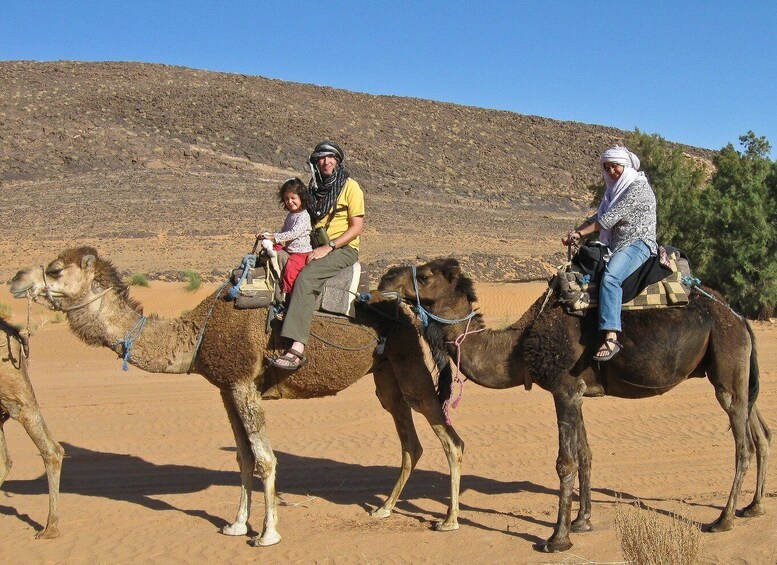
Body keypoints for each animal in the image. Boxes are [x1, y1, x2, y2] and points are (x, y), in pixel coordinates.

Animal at [9, 247, 464, 548]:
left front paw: (267, 533)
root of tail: (409, 310)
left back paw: (449, 521)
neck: (197, 332)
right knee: (411, 441)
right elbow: (243, 458)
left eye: (54, 269)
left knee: (450, 439)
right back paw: (384, 508)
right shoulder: (226, 388)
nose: (15, 279)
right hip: (386, 375)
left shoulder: (244, 382)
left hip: (409, 364)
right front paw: (235, 524)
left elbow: (265, 459)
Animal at [378, 258, 768, 552]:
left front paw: (557, 539)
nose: (385, 278)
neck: (519, 345)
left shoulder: (563, 388)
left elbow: (564, 461)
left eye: (425, 275)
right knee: (760, 431)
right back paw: (754, 507)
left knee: (743, 444)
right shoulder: (577, 392)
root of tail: (740, 319)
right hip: (735, 370)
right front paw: (582, 522)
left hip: (727, 362)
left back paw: (723, 519)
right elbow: (585, 453)